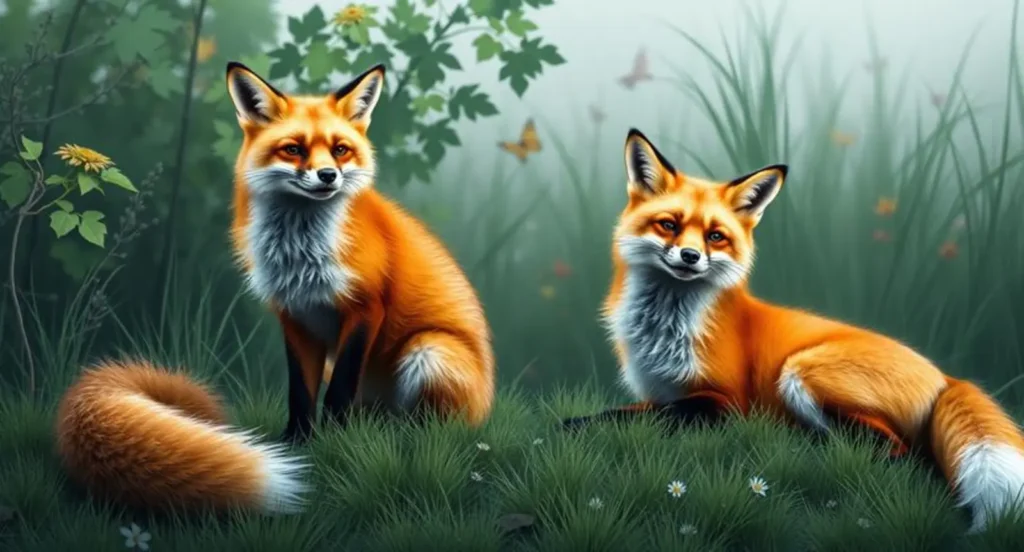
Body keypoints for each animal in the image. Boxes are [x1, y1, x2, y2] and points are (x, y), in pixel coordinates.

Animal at [224, 62, 496, 442]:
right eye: (293, 149)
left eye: (340, 149)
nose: (328, 175)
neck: (301, 253)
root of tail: (486, 409)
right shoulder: (296, 316)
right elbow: (300, 391)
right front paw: (297, 441)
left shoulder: (365, 307)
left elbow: (340, 388)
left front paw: (336, 440)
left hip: (427, 351)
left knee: (432, 431)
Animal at [562, 128, 1024, 533]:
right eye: (669, 225)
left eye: (716, 236)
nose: (690, 256)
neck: (667, 329)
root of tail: (946, 376)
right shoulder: (665, 391)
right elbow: (642, 409)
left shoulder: (724, 400)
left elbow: (632, 416)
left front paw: (572, 425)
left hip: (800, 372)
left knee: (899, 453)